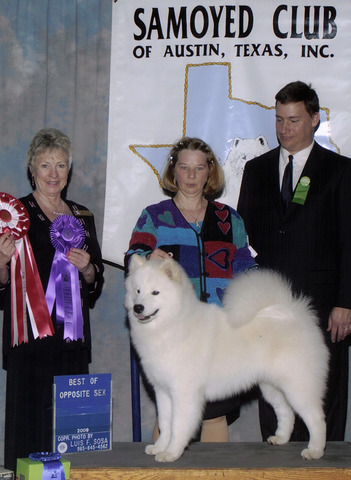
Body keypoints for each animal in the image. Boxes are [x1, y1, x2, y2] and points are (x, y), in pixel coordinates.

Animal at [126, 256, 330, 464]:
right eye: (138, 290)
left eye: (155, 292)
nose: (138, 307)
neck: (171, 324)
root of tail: (292, 312)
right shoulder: (163, 391)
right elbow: (165, 424)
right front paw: (159, 446)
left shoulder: (183, 393)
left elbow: (178, 426)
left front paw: (171, 453)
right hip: (271, 388)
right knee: (286, 412)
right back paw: (280, 438)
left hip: (298, 387)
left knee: (316, 418)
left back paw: (315, 450)